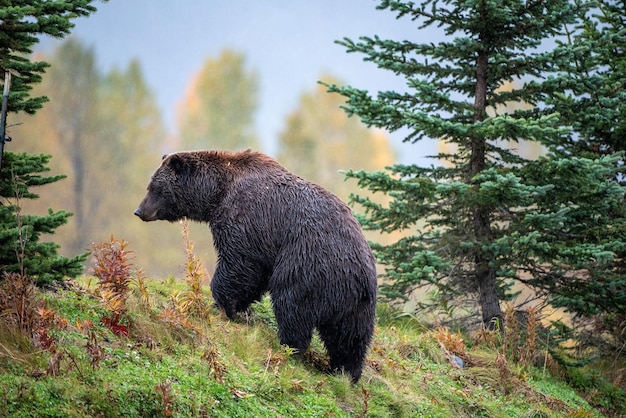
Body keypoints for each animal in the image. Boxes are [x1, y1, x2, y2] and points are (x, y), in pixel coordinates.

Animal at [135, 150, 376, 382]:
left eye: (155, 187)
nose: (139, 210)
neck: (218, 193)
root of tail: (356, 274)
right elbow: (254, 277)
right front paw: (240, 307)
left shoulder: (247, 218)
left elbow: (240, 262)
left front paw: (224, 305)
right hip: (358, 304)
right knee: (350, 338)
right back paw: (345, 371)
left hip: (307, 267)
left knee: (292, 307)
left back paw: (289, 347)